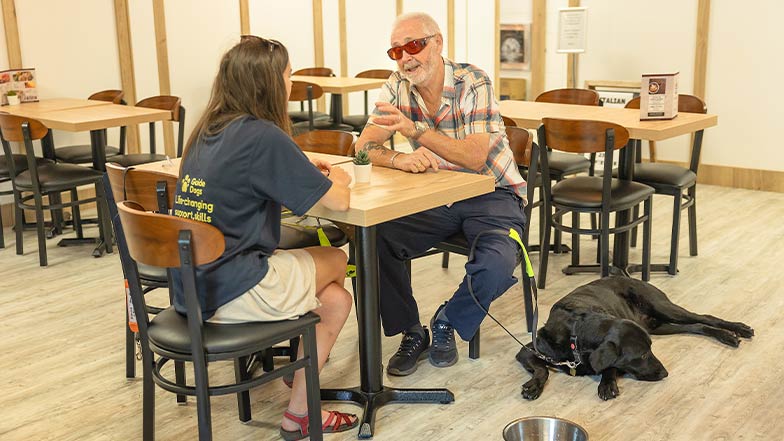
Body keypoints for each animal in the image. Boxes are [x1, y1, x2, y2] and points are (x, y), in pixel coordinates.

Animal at [516, 276, 752, 400]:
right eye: (643, 354)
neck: (577, 334)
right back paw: (730, 335)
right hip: (659, 326)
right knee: (698, 326)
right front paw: (534, 385)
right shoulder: (527, 350)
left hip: (663, 308)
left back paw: (736, 330)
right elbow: (542, 369)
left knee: (705, 318)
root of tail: (629, 276)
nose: (665, 373)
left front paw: (607, 384)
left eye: (651, 350)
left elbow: (610, 366)